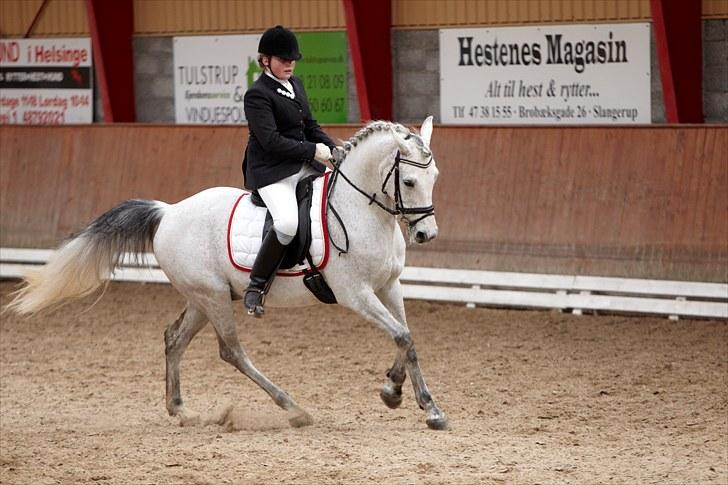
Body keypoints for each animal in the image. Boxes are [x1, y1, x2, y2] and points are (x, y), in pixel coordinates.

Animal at [5, 117, 448, 431]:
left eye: (435, 178)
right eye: (409, 180)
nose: (426, 234)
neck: (363, 211)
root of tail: (168, 212)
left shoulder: (388, 286)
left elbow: (406, 337)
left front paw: (405, 395)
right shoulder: (355, 293)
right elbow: (401, 335)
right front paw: (415, 401)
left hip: (203, 298)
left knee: (174, 339)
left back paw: (181, 411)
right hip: (213, 297)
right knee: (231, 351)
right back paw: (293, 407)